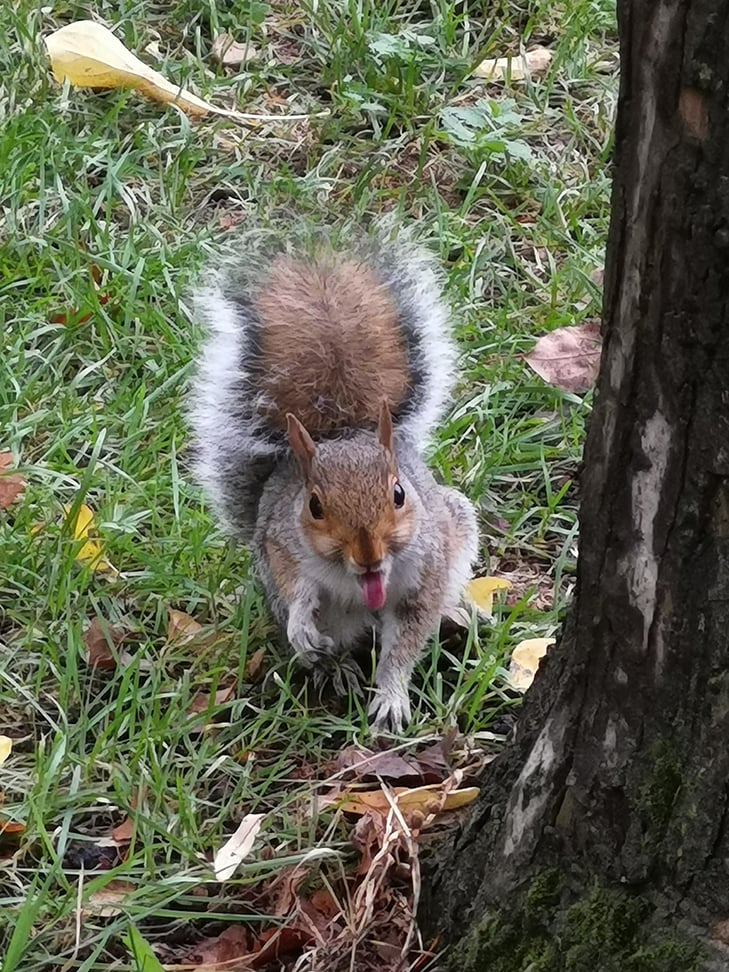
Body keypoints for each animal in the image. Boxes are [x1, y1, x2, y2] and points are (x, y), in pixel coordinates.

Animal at [187, 224, 479, 731]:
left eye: (399, 493)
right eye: (314, 506)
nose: (367, 556)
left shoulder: (427, 568)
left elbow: (405, 642)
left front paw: (392, 695)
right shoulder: (283, 543)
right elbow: (296, 590)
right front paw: (303, 630)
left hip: (458, 525)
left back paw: (455, 615)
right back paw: (332, 667)